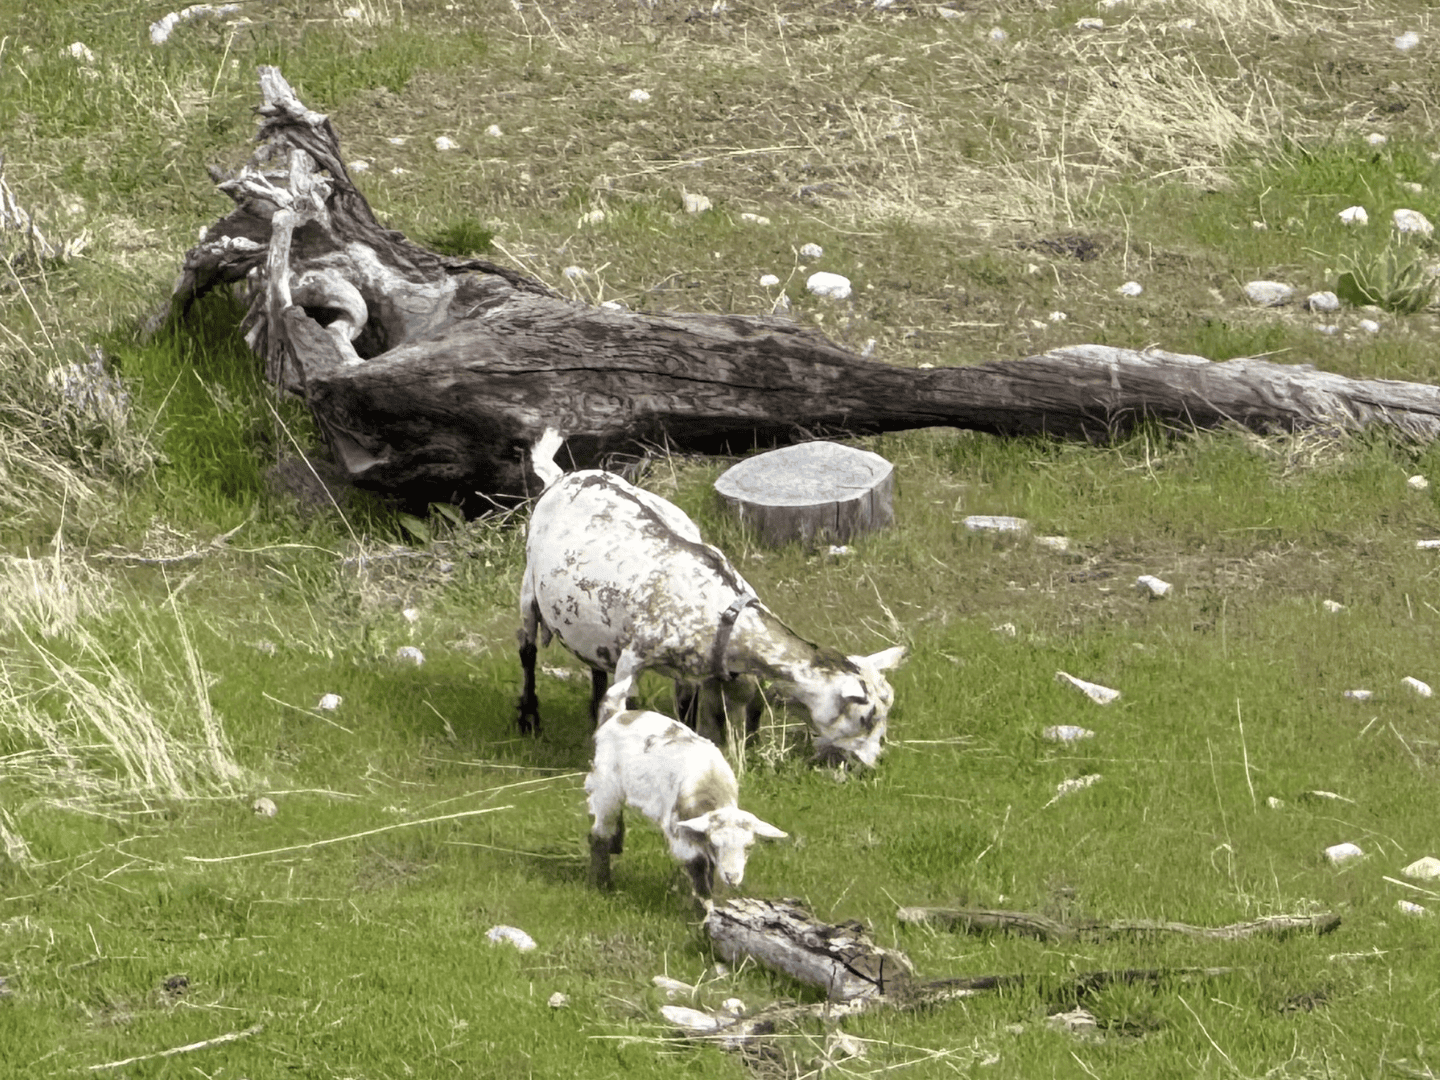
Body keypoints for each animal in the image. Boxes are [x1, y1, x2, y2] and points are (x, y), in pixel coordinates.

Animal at [516, 428, 906, 765]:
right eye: (866, 717)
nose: (872, 762)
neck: (722, 615)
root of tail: (563, 477)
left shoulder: (695, 674)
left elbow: (693, 712)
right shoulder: (635, 656)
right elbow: (615, 705)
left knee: (594, 662)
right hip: (528, 585)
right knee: (527, 649)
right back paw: (528, 718)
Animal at [585, 676, 787, 896]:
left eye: (749, 847)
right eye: (716, 844)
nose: (732, 878)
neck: (709, 780)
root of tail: (617, 714)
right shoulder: (680, 831)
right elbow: (699, 868)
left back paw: (616, 846)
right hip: (605, 783)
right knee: (599, 833)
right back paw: (602, 883)